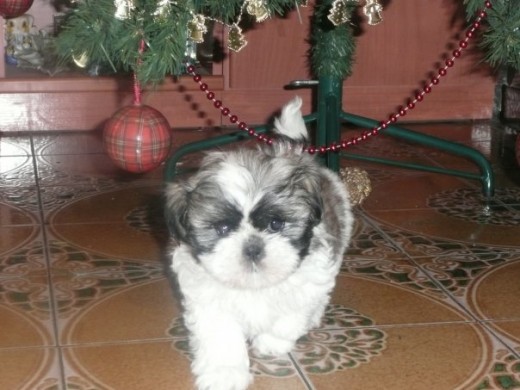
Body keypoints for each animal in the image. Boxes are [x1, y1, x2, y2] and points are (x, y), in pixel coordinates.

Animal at [167, 95, 354, 390]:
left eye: (276, 224)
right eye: (222, 228)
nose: (253, 246)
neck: (254, 286)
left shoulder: (310, 280)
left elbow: (290, 315)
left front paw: (271, 342)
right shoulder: (209, 302)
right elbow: (221, 338)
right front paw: (225, 374)